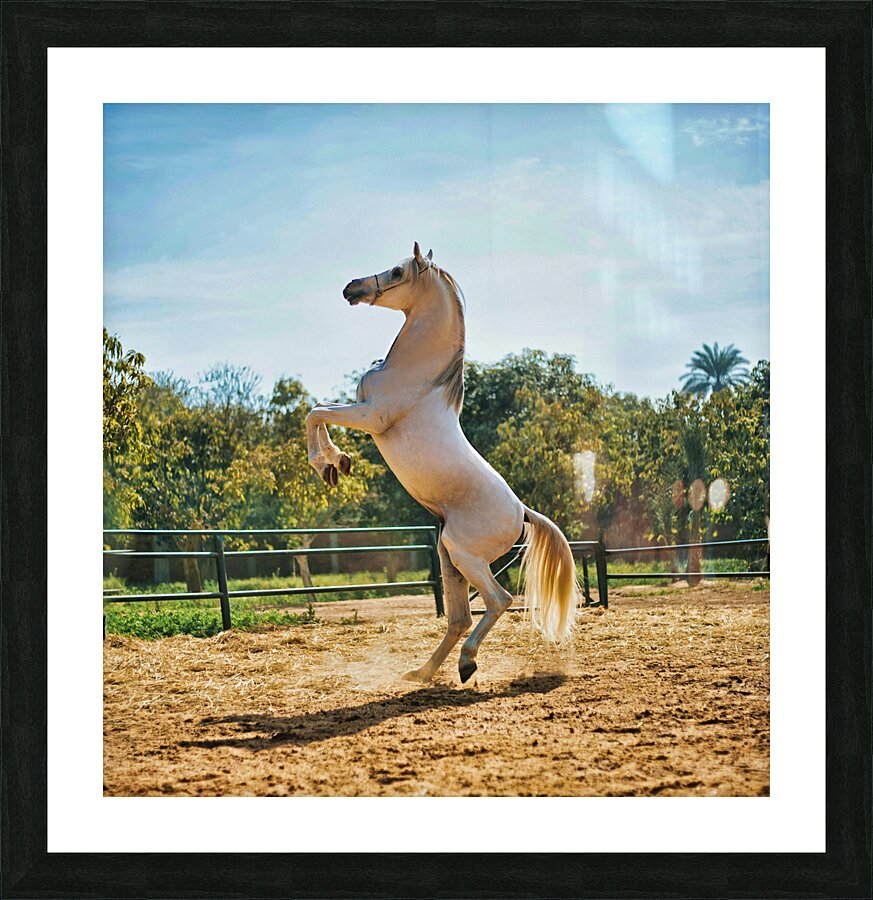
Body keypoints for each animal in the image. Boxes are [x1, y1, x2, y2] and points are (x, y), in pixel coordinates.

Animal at [305, 242, 578, 683]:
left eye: (397, 271)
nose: (351, 287)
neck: (414, 373)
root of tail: (522, 512)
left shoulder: (371, 416)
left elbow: (315, 413)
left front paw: (329, 464)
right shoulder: (363, 412)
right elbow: (318, 411)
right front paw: (336, 464)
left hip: (463, 553)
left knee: (499, 601)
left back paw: (466, 663)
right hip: (448, 557)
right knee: (459, 617)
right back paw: (423, 672)